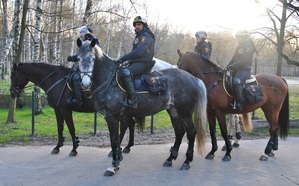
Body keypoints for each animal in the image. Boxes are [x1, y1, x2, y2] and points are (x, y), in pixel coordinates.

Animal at [10, 62, 142, 155]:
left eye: (13, 76)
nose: (12, 93)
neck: (55, 80)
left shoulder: (65, 110)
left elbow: (71, 129)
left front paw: (74, 148)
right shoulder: (57, 110)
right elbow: (60, 128)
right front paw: (58, 146)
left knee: (125, 125)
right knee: (130, 124)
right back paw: (127, 146)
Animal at [77, 39, 209, 176]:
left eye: (93, 59)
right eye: (78, 59)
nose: (85, 83)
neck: (108, 79)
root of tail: (194, 78)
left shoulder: (112, 117)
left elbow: (114, 140)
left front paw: (113, 165)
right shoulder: (120, 116)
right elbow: (118, 137)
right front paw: (118, 159)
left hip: (185, 113)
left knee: (191, 132)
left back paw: (187, 161)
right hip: (173, 112)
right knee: (179, 132)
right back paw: (170, 159)